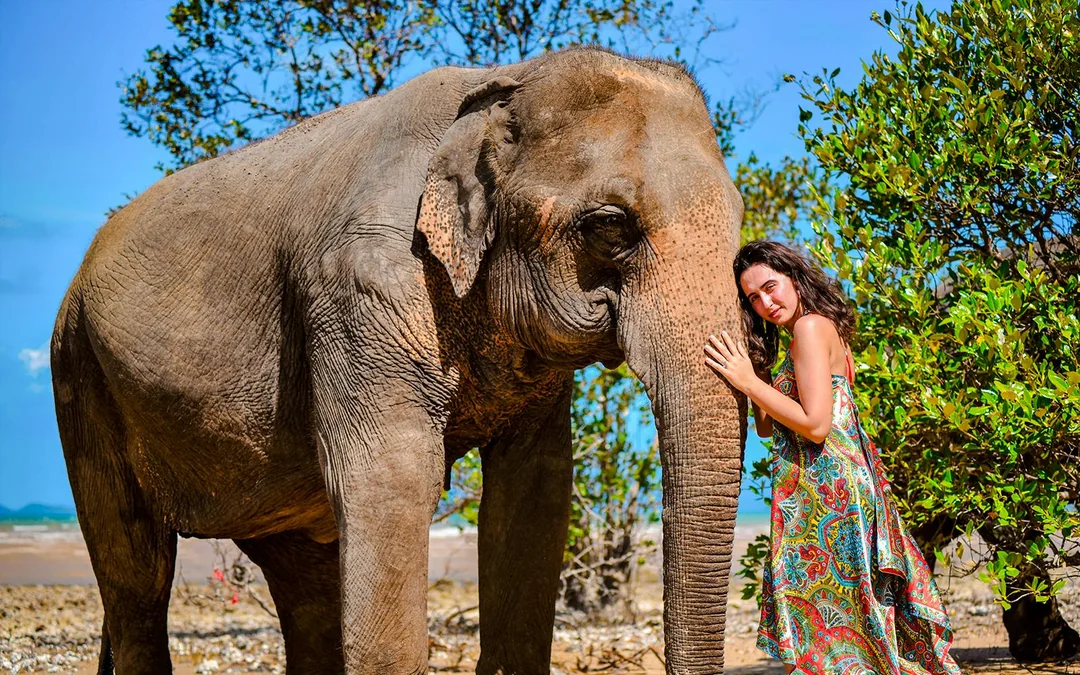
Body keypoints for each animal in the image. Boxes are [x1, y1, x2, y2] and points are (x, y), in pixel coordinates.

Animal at [50, 45, 747, 674]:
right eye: (610, 226)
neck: (502, 81)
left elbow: (535, 492)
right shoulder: (360, 293)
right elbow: (393, 478)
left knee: (303, 586)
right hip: (80, 375)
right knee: (136, 573)